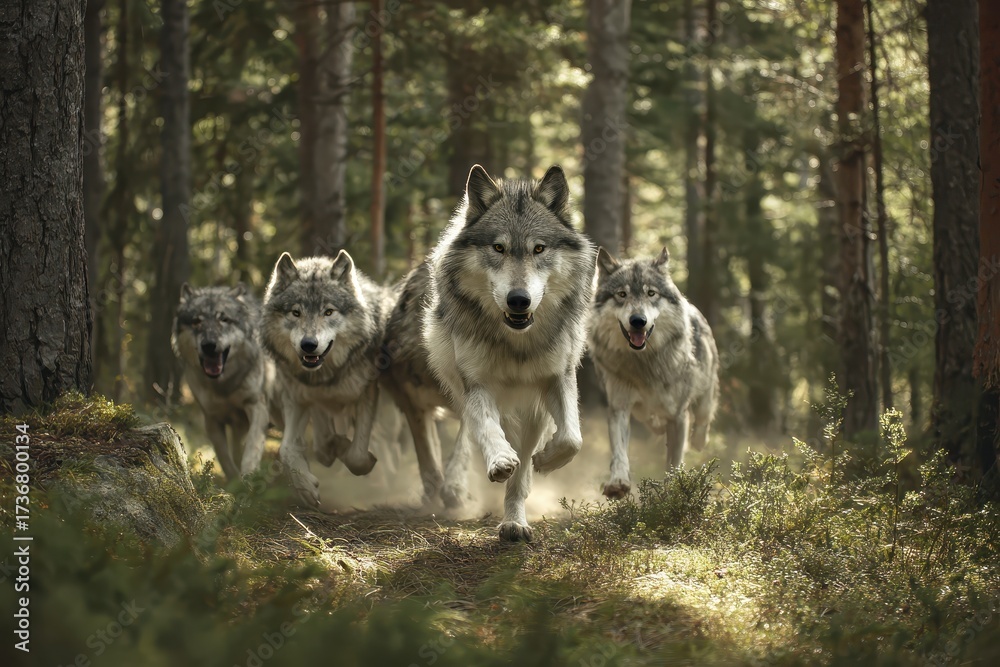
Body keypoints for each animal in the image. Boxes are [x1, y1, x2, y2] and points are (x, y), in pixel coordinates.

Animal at [171, 283, 280, 481]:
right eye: (196, 321)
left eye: (224, 319)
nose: (209, 345)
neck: (224, 386)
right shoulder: (212, 419)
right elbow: (225, 458)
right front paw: (235, 482)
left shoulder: (257, 408)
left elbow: (250, 451)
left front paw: (248, 479)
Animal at [262, 249, 393, 507]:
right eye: (296, 312)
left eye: (328, 312)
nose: (309, 345)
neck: (325, 377)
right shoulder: (296, 398)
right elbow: (286, 450)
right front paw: (305, 488)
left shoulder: (366, 392)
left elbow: (358, 454)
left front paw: (361, 460)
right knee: (322, 444)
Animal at [421, 164, 597, 541]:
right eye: (498, 247)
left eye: (539, 248)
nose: (519, 300)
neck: (517, 342)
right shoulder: (477, 384)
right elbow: (488, 430)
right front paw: (500, 460)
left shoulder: (557, 379)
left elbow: (571, 438)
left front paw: (546, 461)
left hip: (532, 414)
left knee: (526, 460)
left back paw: (515, 521)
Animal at [588, 247, 719, 499]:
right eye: (621, 294)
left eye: (651, 293)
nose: (638, 321)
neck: (644, 365)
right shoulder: (619, 406)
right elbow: (619, 451)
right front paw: (618, 482)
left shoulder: (678, 415)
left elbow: (674, 461)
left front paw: (673, 490)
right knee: (652, 421)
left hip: (703, 398)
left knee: (703, 421)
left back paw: (699, 439)